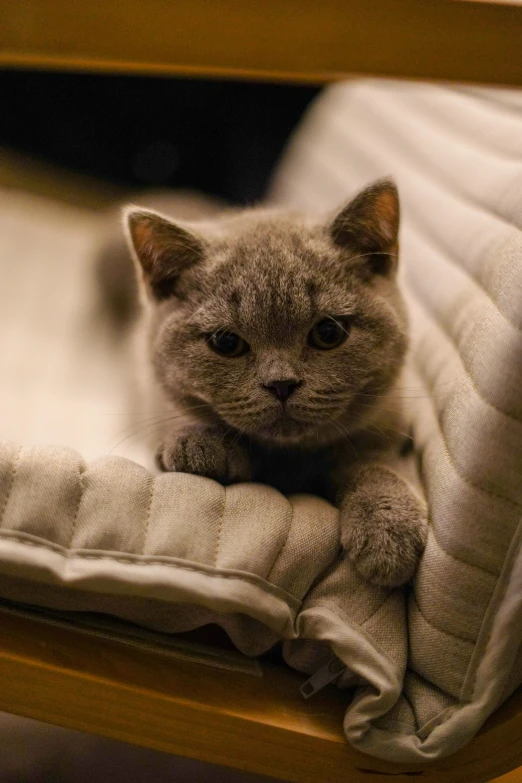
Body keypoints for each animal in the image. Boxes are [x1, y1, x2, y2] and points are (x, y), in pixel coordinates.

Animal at [107, 182, 424, 588]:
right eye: (226, 342)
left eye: (328, 332)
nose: (281, 384)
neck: (287, 462)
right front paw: (199, 443)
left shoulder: (393, 425)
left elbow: (374, 461)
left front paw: (388, 529)